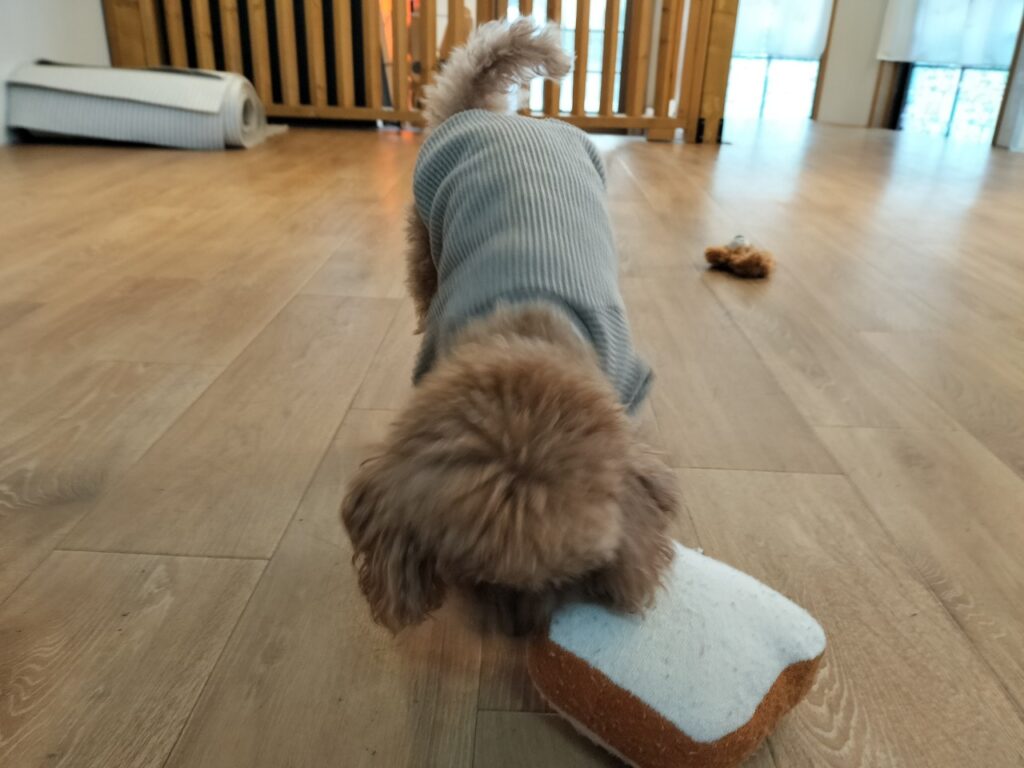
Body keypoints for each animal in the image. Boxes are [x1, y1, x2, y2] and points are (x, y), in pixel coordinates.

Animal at [341, 18, 679, 636]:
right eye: (477, 575)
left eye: (568, 574)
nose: (523, 632)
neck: (527, 336)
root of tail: (489, 114)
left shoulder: (629, 384)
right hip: (423, 236)